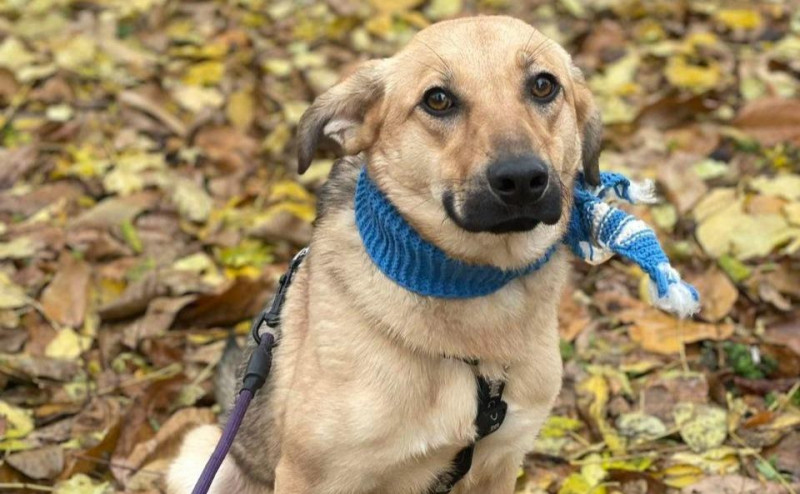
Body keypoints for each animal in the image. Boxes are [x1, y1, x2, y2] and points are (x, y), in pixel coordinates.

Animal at [167, 15, 601, 494]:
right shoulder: (310, 474)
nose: (522, 178)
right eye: (438, 99)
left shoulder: (500, 463)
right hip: (201, 456)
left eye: (543, 85)